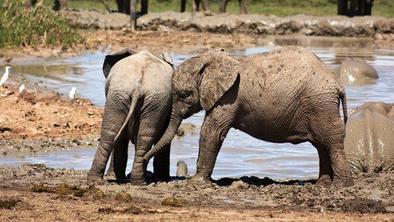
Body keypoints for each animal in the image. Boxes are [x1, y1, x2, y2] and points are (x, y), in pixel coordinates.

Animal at [145, 47, 354, 186]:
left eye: (183, 95)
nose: (143, 164)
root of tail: (338, 84)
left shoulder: (229, 97)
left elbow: (212, 132)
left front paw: (197, 183)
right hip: (318, 106)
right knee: (321, 144)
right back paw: (322, 185)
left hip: (320, 104)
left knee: (331, 141)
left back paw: (340, 186)